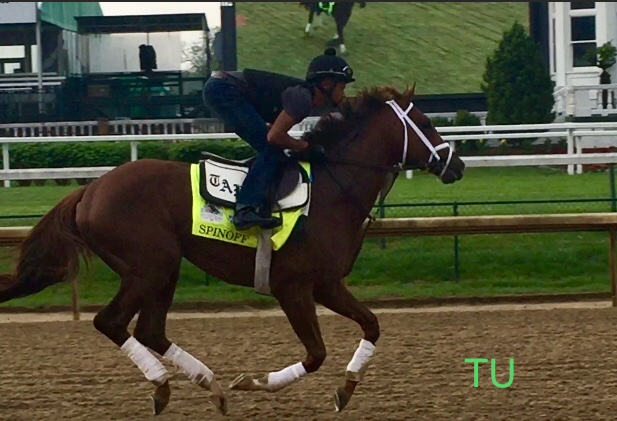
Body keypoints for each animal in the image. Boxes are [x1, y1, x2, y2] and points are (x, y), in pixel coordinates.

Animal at [0, 84, 462, 414]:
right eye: (425, 122)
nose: (455, 165)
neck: (333, 191)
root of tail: (90, 190)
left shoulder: (328, 284)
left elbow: (372, 325)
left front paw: (346, 388)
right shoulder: (293, 287)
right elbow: (316, 353)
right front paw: (256, 382)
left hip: (165, 267)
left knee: (150, 329)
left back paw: (210, 386)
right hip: (150, 264)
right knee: (111, 322)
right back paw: (164, 386)